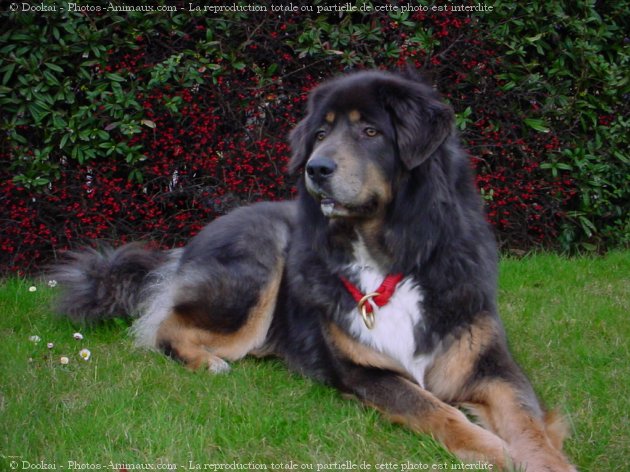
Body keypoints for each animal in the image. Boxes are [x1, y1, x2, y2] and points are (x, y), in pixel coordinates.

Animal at [53, 71, 576, 472]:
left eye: (370, 132)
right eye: (321, 135)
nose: (315, 168)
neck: (389, 258)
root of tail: (187, 246)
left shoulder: (491, 366)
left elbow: (527, 423)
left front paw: (546, 461)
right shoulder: (367, 371)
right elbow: (435, 410)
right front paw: (493, 449)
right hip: (259, 263)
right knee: (163, 326)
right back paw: (208, 362)